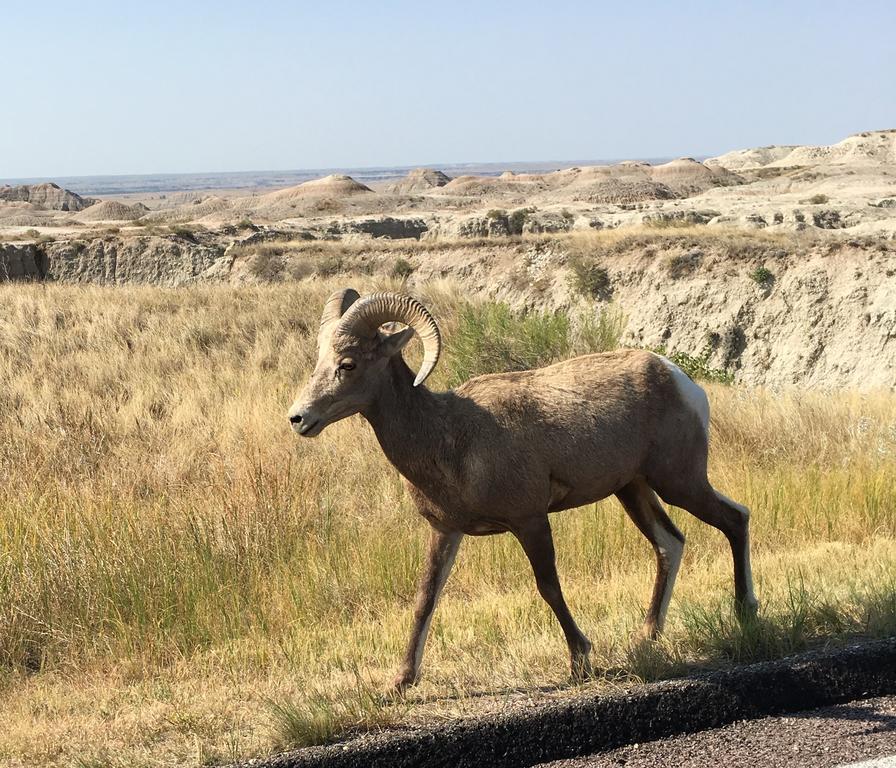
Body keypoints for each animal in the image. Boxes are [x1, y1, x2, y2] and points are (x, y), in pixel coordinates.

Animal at [288, 289, 758, 691]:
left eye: (348, 364)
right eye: (319, 360)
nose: (298, 418)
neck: (448, 436)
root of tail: (679, 378)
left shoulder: (530, 521)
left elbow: (548, 587)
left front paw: (580, 661)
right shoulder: (445, 531)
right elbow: (425, 599)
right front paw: (401, 682)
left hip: (679, 481)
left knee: (735, 519)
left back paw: (745, 613)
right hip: (634, 490)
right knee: (669, 544)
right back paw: (648, 636)